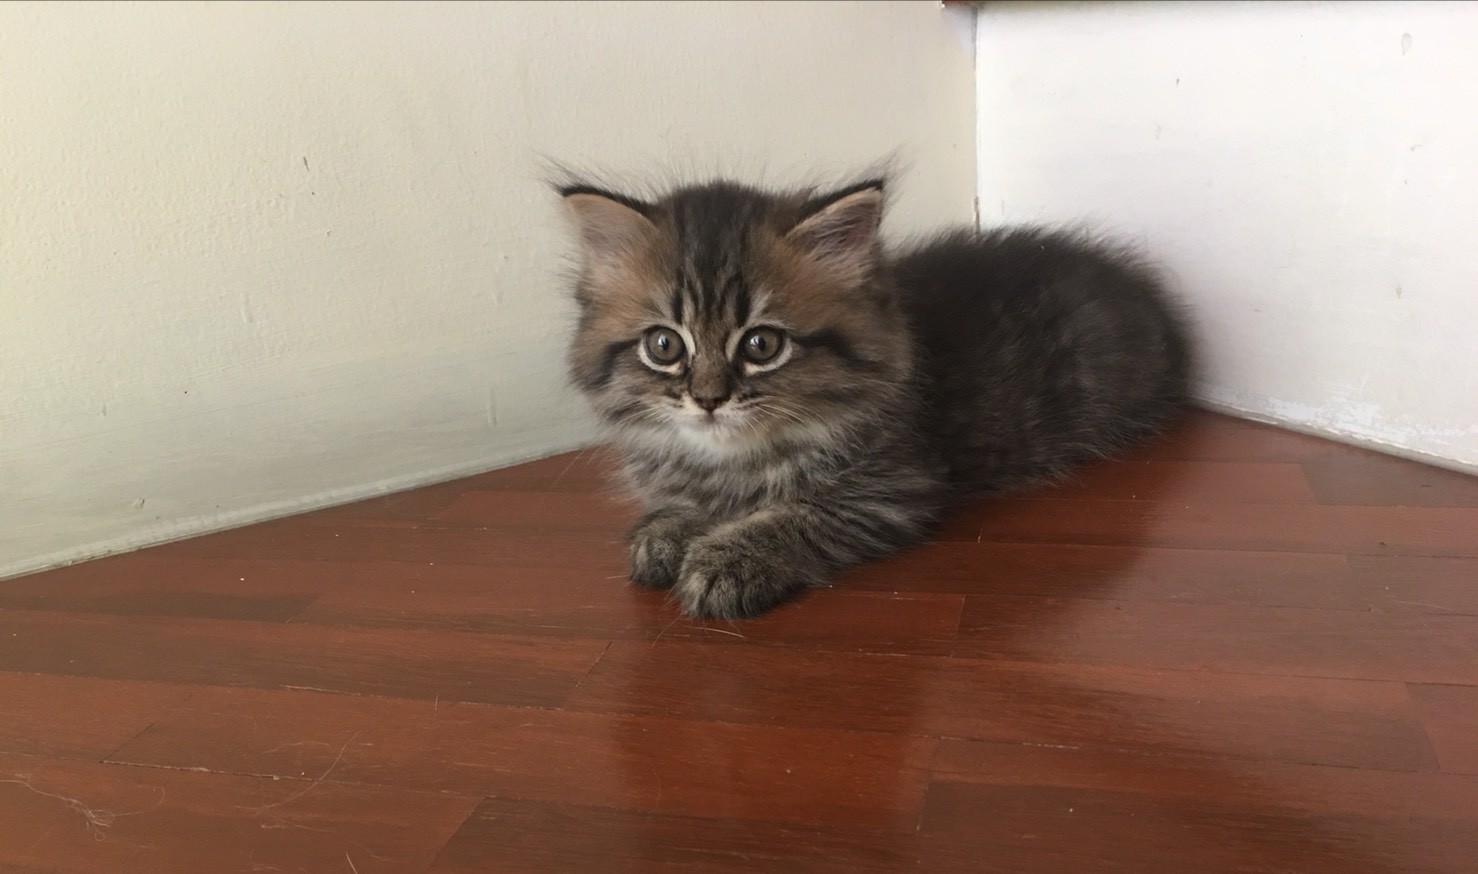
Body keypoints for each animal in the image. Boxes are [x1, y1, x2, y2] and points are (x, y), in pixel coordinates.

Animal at [557, 174, 1192, 620]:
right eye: (665, 345)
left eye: (762, 344)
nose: (709, 399)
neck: (732, 463)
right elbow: (677, 504)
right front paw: (665, 531)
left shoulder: (891, 487)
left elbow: (797, 516)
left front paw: (726, 559)